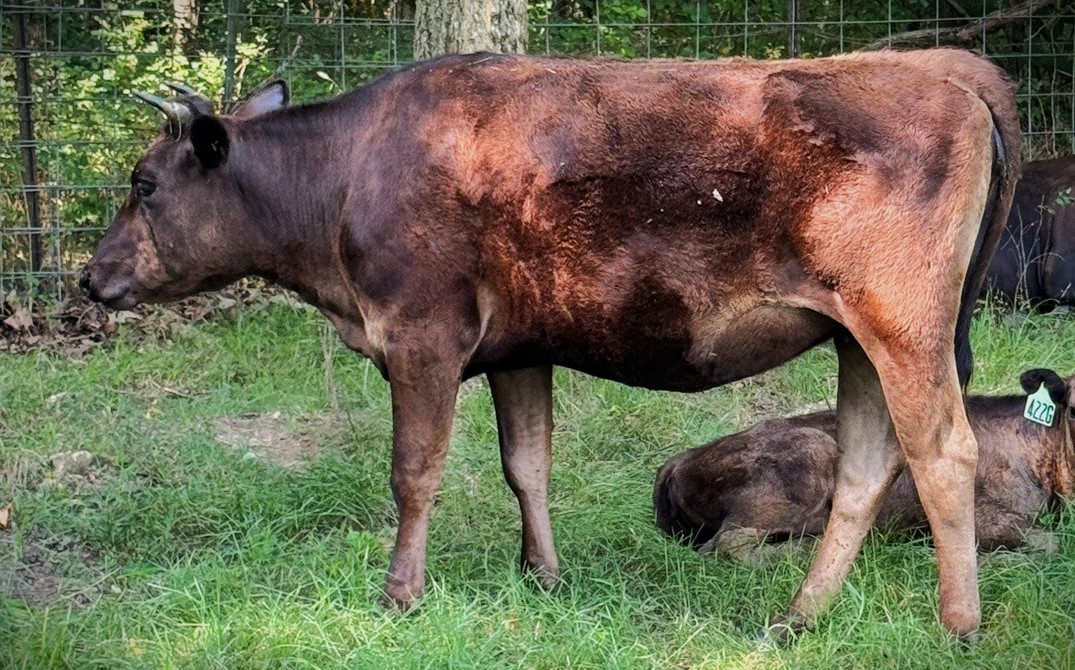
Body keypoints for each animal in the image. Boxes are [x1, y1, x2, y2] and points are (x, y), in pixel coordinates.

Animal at [79, 49, 1019, 636]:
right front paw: (543, 576)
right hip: (856, 338)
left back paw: (958, 625)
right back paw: (798, 617)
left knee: (942, 453)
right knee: (866, 465)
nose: (89, 277)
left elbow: (414, 472)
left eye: (144, 183)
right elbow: (524, 462)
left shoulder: (423, 337)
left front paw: (399, 593)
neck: (350, 171)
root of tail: (944, 69)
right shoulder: (521, 346)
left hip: (903, 327)